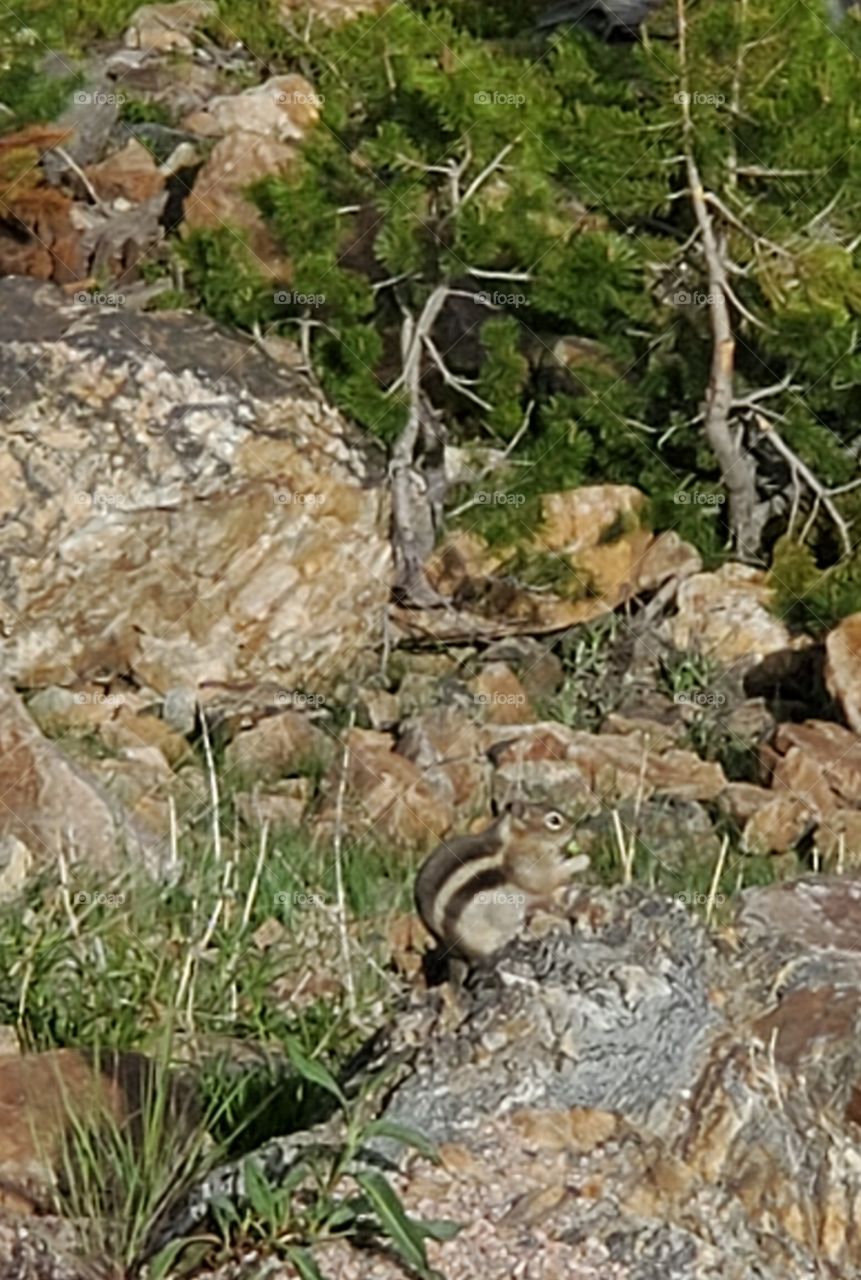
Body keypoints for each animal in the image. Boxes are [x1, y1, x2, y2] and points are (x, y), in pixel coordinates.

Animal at [415, 800, 590, 965]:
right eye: (554, 820)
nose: (574, 828)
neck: (518, 838)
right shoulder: (529, 866)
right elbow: (548, 878)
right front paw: (581, 860)